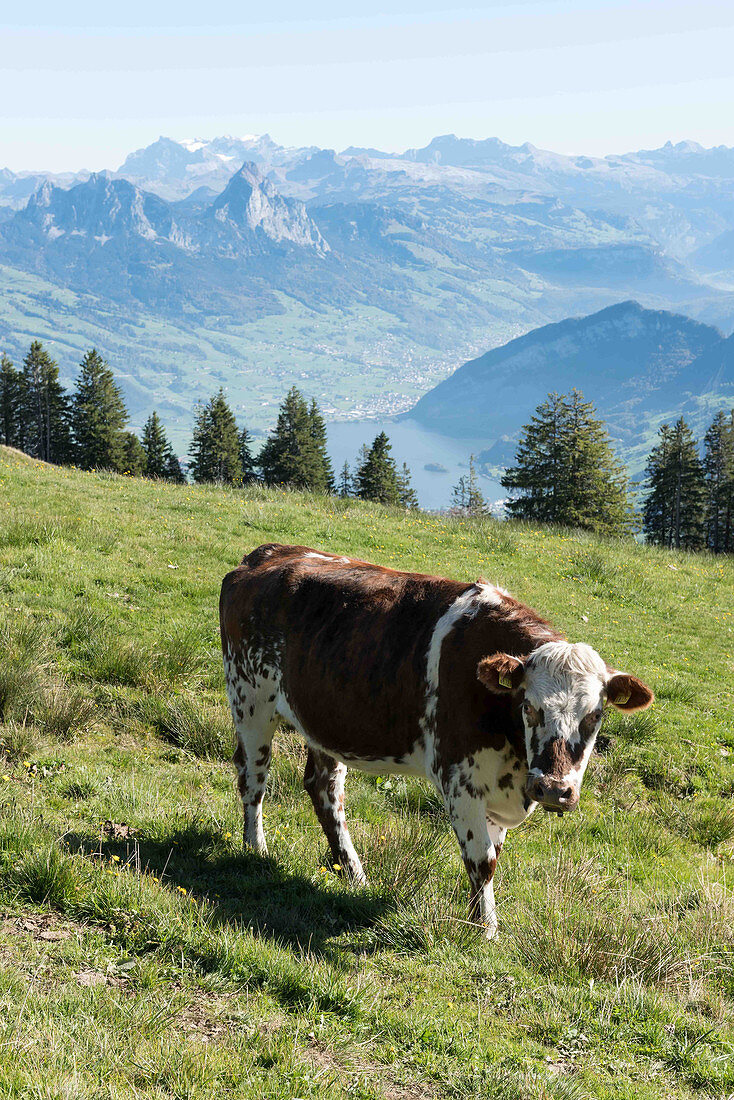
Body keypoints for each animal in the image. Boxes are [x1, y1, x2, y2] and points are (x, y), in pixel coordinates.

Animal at [220, 541, 655, 937]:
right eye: (530, 706)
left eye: (595, 715)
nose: (552, 789)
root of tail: (266, 554)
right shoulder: (459, 777)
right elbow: (481, 860)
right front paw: (486, 930)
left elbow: (492, 854)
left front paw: (477, 916)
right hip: (250, 701)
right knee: (253, 778)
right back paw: (255, 848)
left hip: (324, 721)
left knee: (324, 789)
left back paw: (353, 872)